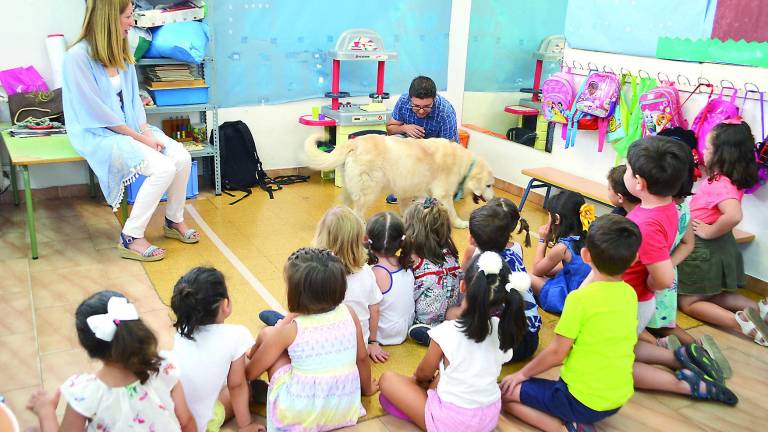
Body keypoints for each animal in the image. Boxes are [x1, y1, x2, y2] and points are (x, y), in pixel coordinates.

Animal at [306, 134, 498, 230]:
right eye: (489, 185)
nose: (493, 198)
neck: (464, 164)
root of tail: (354, 143)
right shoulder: (443, 195)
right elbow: (451, 212)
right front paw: (460, 224)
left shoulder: (406, 192)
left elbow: (406, 210)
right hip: (369, 191)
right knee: (358, 212)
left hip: (348, 189)